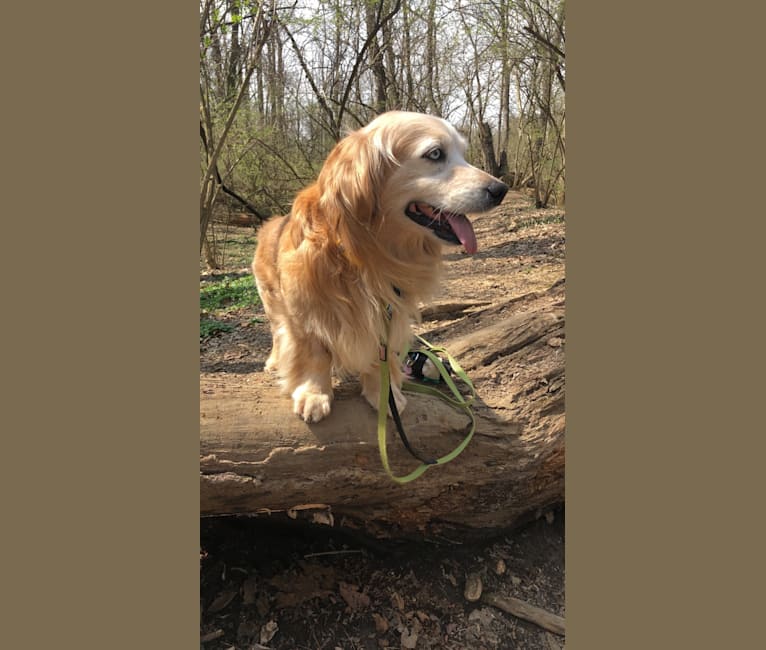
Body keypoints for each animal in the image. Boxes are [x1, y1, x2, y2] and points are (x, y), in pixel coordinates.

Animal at [255, 111, 510, 422]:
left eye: (463, 152)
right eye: (435, 153)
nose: (501, 189)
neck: (365, 253)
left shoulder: (390, 312)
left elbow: (381, 359)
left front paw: (383, 393)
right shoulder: (303, 313)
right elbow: (314, 355)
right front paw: (314, 394)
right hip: (272, 302)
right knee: (277, 332)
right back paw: (273, 360)